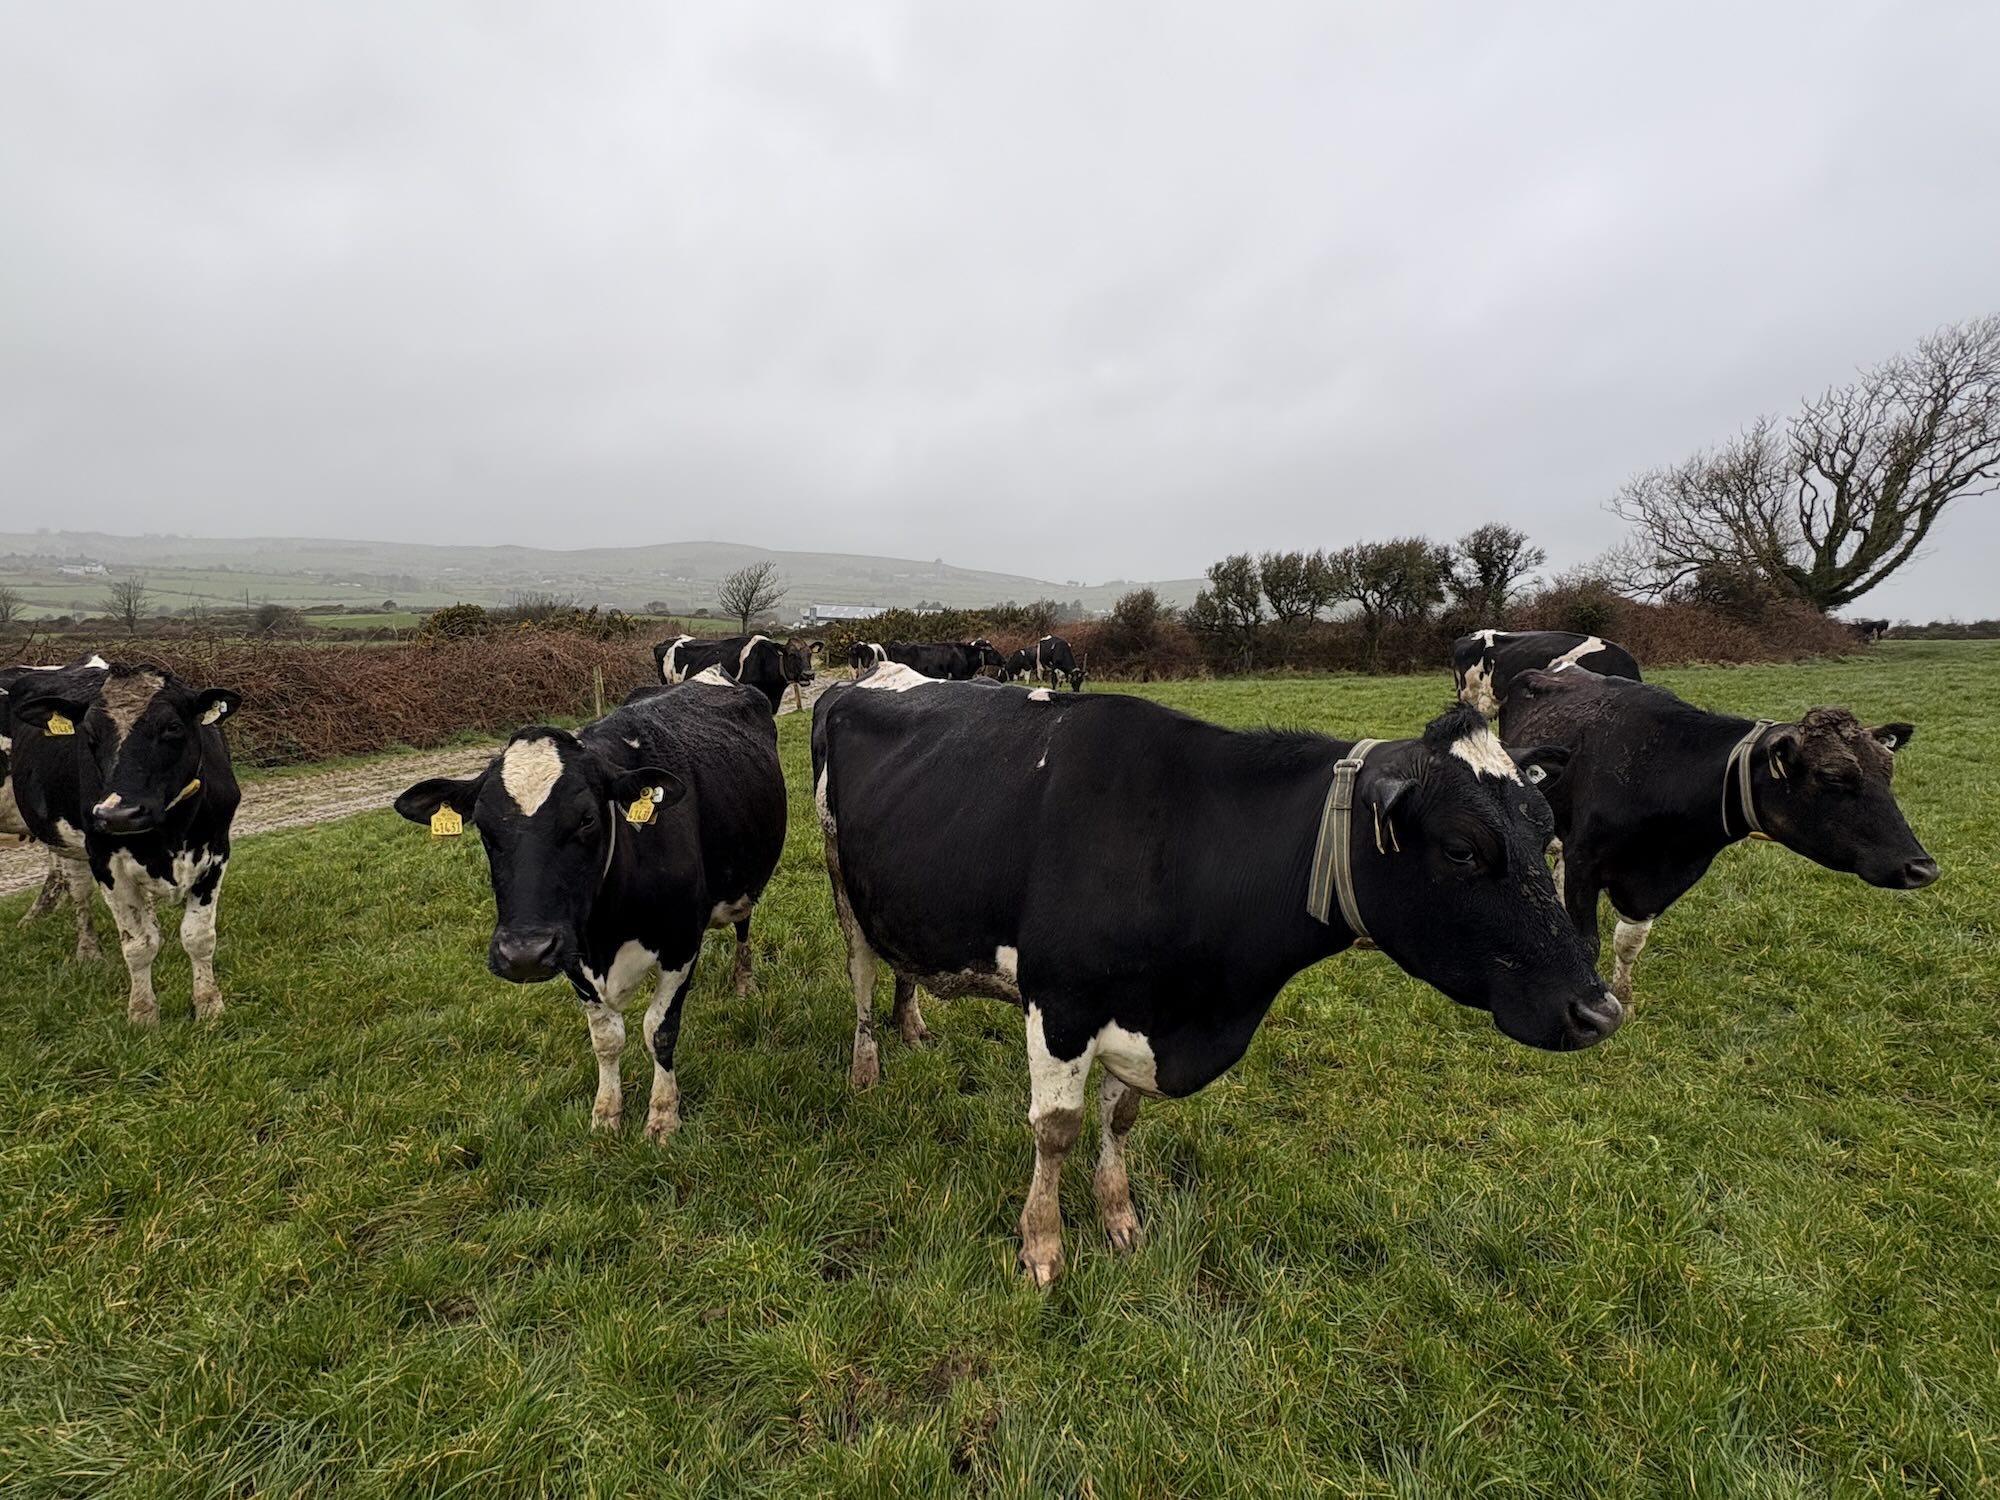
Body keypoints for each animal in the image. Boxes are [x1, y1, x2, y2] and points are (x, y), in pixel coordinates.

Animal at [6, 662, 243, 1024]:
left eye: (172, 727)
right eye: (89, 735)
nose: (119, 814)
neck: (170, 833)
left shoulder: (215, 854)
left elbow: (199, 937)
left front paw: (209, 1006)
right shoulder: (106, 861)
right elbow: (138, 945)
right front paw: (143, 1014)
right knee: (79, 893)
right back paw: (88, 952)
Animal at [394, 669, 786, 1140]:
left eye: (586, 819)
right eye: (484, 828)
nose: (523, 954)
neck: (606, 934)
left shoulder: (681, 945)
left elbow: (659, 1031)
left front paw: (662, 1116)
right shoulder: (571, 954)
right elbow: (606, 1039)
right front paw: (606, 1113)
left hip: (745, 882)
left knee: (743, 924)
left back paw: (744, 983)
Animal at [812, 667, 1620, 1285]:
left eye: (1545, 827)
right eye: (1460, 848)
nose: (1599, 1011)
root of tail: (862, 681)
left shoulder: (1144, 1014)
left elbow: (1120, 1121)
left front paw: (1120, 1218)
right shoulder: (1062, 1002)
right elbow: (1057, 1129)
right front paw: (1041, 1245)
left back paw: (914, 1028)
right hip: (844, 887)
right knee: (860, 975)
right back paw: (865, 1068)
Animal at [1499, 666, 1937, 1006]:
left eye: (1888, 772)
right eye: (1832, 776)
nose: (1922, 868)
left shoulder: (1661, 882)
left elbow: (1630, 942)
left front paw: (1625, 997)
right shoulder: (1585, 860)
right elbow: (1588, 942)